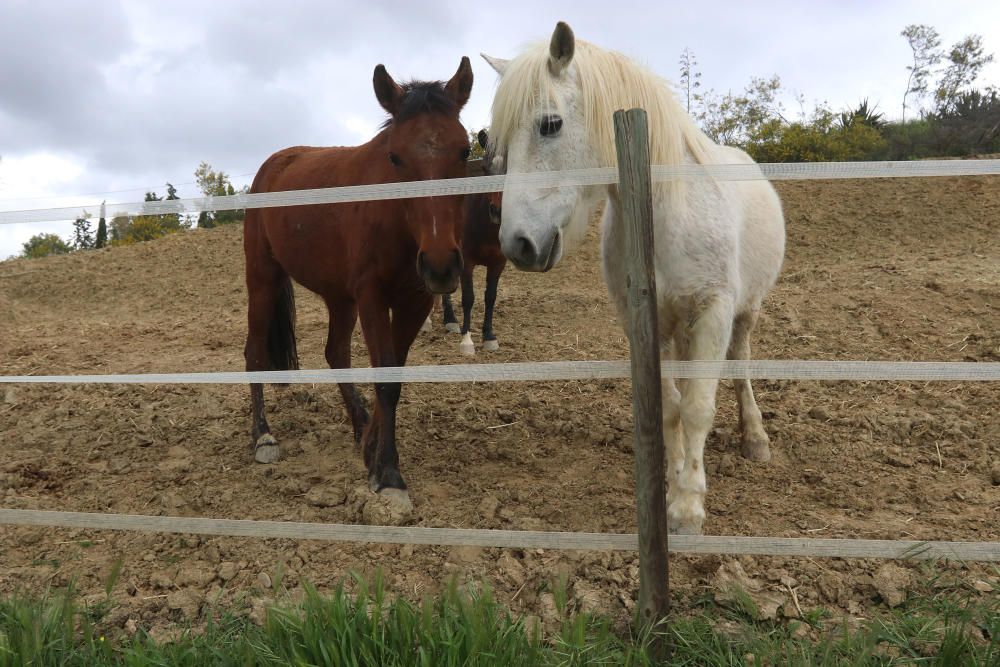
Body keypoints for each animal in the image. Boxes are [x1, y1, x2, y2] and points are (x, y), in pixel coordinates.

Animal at [244, 57, 474, 508]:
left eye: (465, 149)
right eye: (395, 157)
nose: (441, 265)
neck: (395, 219)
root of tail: (271, 165)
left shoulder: (414, 301)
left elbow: (393, 377)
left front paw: (372, 449)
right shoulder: (372, 298)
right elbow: (384, 379)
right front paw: (389, 473)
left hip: (339, 298)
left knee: (336, 353)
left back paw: (359, 423)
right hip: (262, 280)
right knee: (254, 353)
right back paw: (263, 436)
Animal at [480, 20, 784, 536]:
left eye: (549, 124)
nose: (518, 245)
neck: (661, 207)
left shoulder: (715, 311)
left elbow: (698, 408)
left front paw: (688, 508)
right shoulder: (644, 322)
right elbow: (670, 407)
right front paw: (672, 484)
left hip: (745, 313)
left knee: (741, 365)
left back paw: (755, 438)